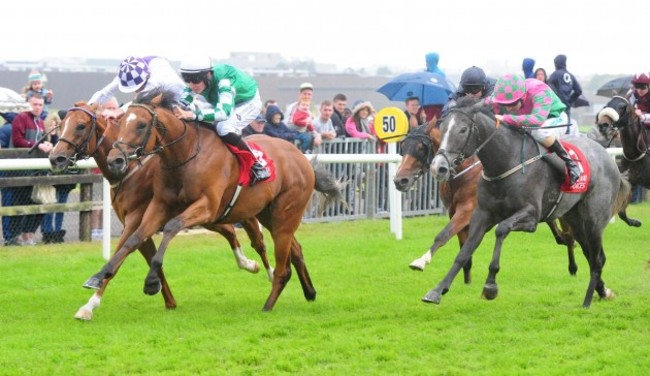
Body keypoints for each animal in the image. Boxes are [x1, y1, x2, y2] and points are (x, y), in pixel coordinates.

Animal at [49, 103, 272, 320]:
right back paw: (248, 264)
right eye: (61, 125)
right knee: (230, 232)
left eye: (80, 126)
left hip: (239, 211)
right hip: (214, 216)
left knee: (257, 240)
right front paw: (166, 297)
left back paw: (269, 273)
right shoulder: (146, 220)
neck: (133, 169)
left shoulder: (136, 218)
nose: (55, 158)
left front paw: (90, 305)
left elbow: (121, 253)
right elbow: (136, 251)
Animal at [97, 90, 344, 312]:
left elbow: (172, 226)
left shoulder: (206, 207)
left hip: (286, 215)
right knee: (296, 251)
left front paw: (150, 281)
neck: (185, 155)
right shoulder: (159, 205)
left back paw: (268, 306)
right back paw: (309, 292)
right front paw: (101, 274)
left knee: (283, 267)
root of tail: (302, 159)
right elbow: (134, 238)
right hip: (269, 215)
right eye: (120, 122)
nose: (115, 160)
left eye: (140, 125)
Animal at [392, 122, 580, 280]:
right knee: (554, 225)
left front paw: (421, 261)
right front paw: (466, 278)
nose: (400, 180)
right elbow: (463, 244)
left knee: (569, 235)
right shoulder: (457, 212)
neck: (464, 173)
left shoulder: (467, 210)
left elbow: (443, 235)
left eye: (421, 147)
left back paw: (573, 266)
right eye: (403, 146)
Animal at [422, 97, 624, 308]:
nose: (438, 168)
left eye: (462, 129)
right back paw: (603, 291)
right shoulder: (481, 214)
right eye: (442, 128)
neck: (505, 163)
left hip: (594, 221)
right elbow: (464, 252)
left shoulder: (531, 216)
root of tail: (606, 155)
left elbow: (501, 229)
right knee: (590, 255)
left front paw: (490, 285)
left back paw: (587, 301)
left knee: (597, 259)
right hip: (575, 219)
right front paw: (437, 290)